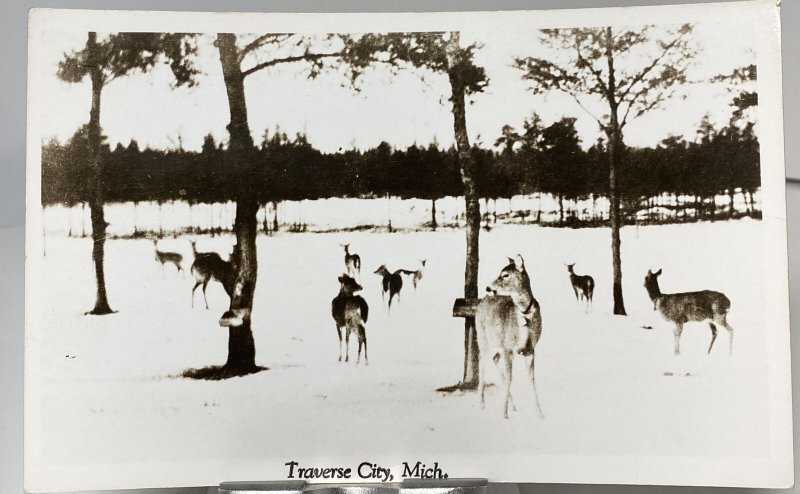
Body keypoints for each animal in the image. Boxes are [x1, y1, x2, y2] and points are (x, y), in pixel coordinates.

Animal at [476, 255, 544, 420]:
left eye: (505, 274)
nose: (488, 288)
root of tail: (482, 301)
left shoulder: (530, 349)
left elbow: (531, 379)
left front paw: (540, 413)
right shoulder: (508, 348)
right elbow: (510, 378)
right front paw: (504, 414)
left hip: (497, 345)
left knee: (495, 361)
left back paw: (513, 406)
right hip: (484, 339)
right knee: (482, 364)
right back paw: (482, 404)